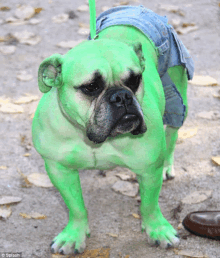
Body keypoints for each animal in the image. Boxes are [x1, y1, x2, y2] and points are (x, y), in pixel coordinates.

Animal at [31, 5, 192, 255]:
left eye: (135, 80)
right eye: (91, 87)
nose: (122, 96)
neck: (96, 139)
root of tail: (133, 8)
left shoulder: (149, 170)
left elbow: (149, 204)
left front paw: (157, 229)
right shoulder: (59, 169)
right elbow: (76, 206)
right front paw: (74, 235)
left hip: (177, 97)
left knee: (172, 136)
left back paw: (168, 164)